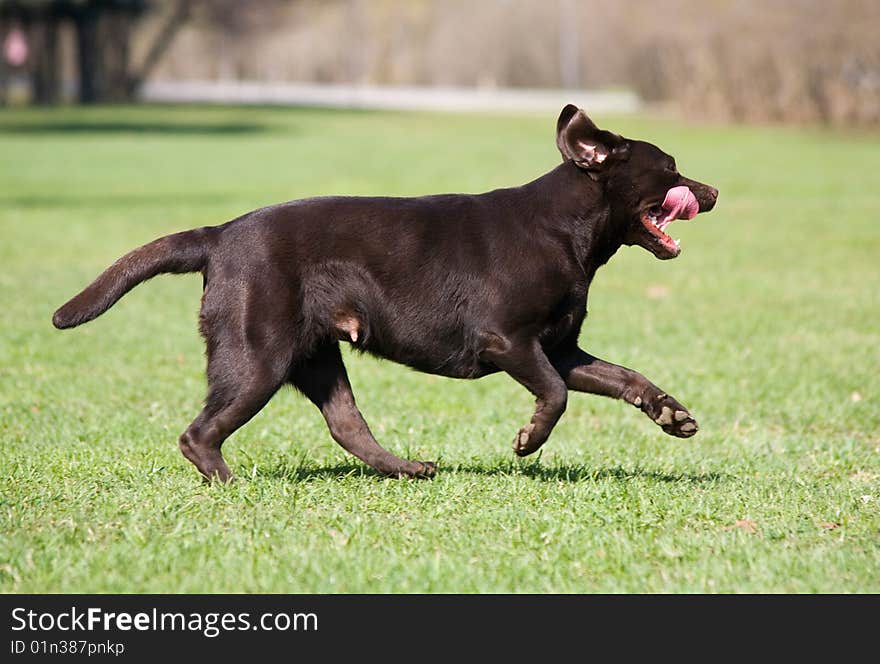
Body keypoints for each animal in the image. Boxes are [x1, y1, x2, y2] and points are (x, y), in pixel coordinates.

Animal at [53, 107, 716, 482]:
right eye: (670, 167)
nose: (710, 191)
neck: (565, 230)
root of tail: (218, 235)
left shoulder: (560, 347)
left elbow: (623, 377)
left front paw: (671, 413)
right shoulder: (511, 342)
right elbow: (555, 396)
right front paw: (528, 441)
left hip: (316, 358)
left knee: (349, 427)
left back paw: (408, 469)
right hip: (257, 358)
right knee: (200, 434)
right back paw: (232, 485)